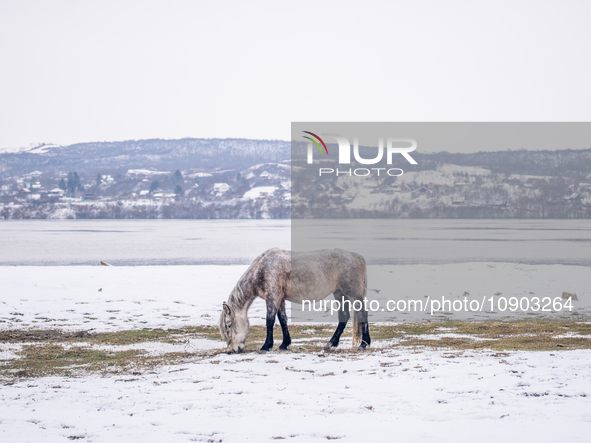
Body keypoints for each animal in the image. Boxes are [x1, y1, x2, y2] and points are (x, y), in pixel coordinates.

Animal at [220, 250, 372, 354]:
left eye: (229, 325)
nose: (235, 349)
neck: (262, 268)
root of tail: (357, 256)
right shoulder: (280, 299)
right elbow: (282, 320)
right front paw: (284, 344)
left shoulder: (272, 298)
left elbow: (270, 321)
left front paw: (266, 346)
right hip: (339, 293)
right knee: (344, 316)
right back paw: (330, 344)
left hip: (351, 293)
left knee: (362, 313)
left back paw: (363, 344)